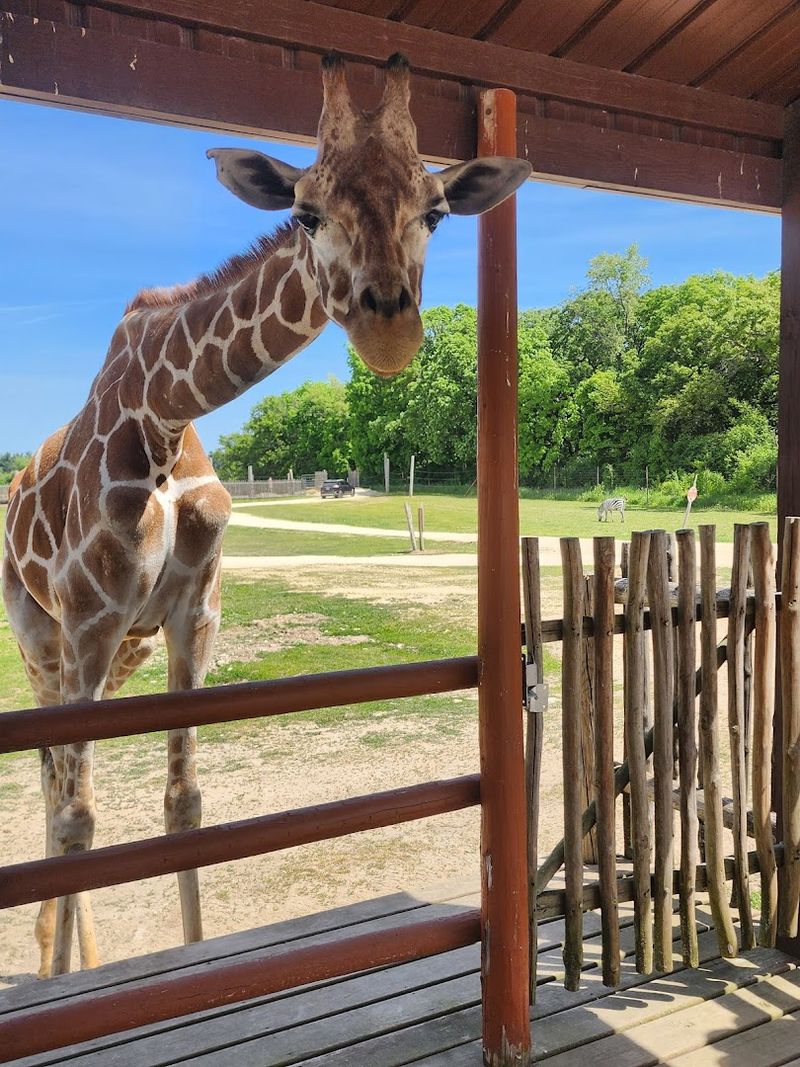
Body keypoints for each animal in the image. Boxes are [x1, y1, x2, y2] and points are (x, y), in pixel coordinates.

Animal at [2, 53, 531, 978]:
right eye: (306, 212)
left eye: (434, 211)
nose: (390, 333)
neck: (162, 411)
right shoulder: (89, 617)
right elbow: (81, 817)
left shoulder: (192, 617)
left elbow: (183, 802)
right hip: (41, 636)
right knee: (57, 789)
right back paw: (59, 967)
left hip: (115, 650)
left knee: (57, 781)